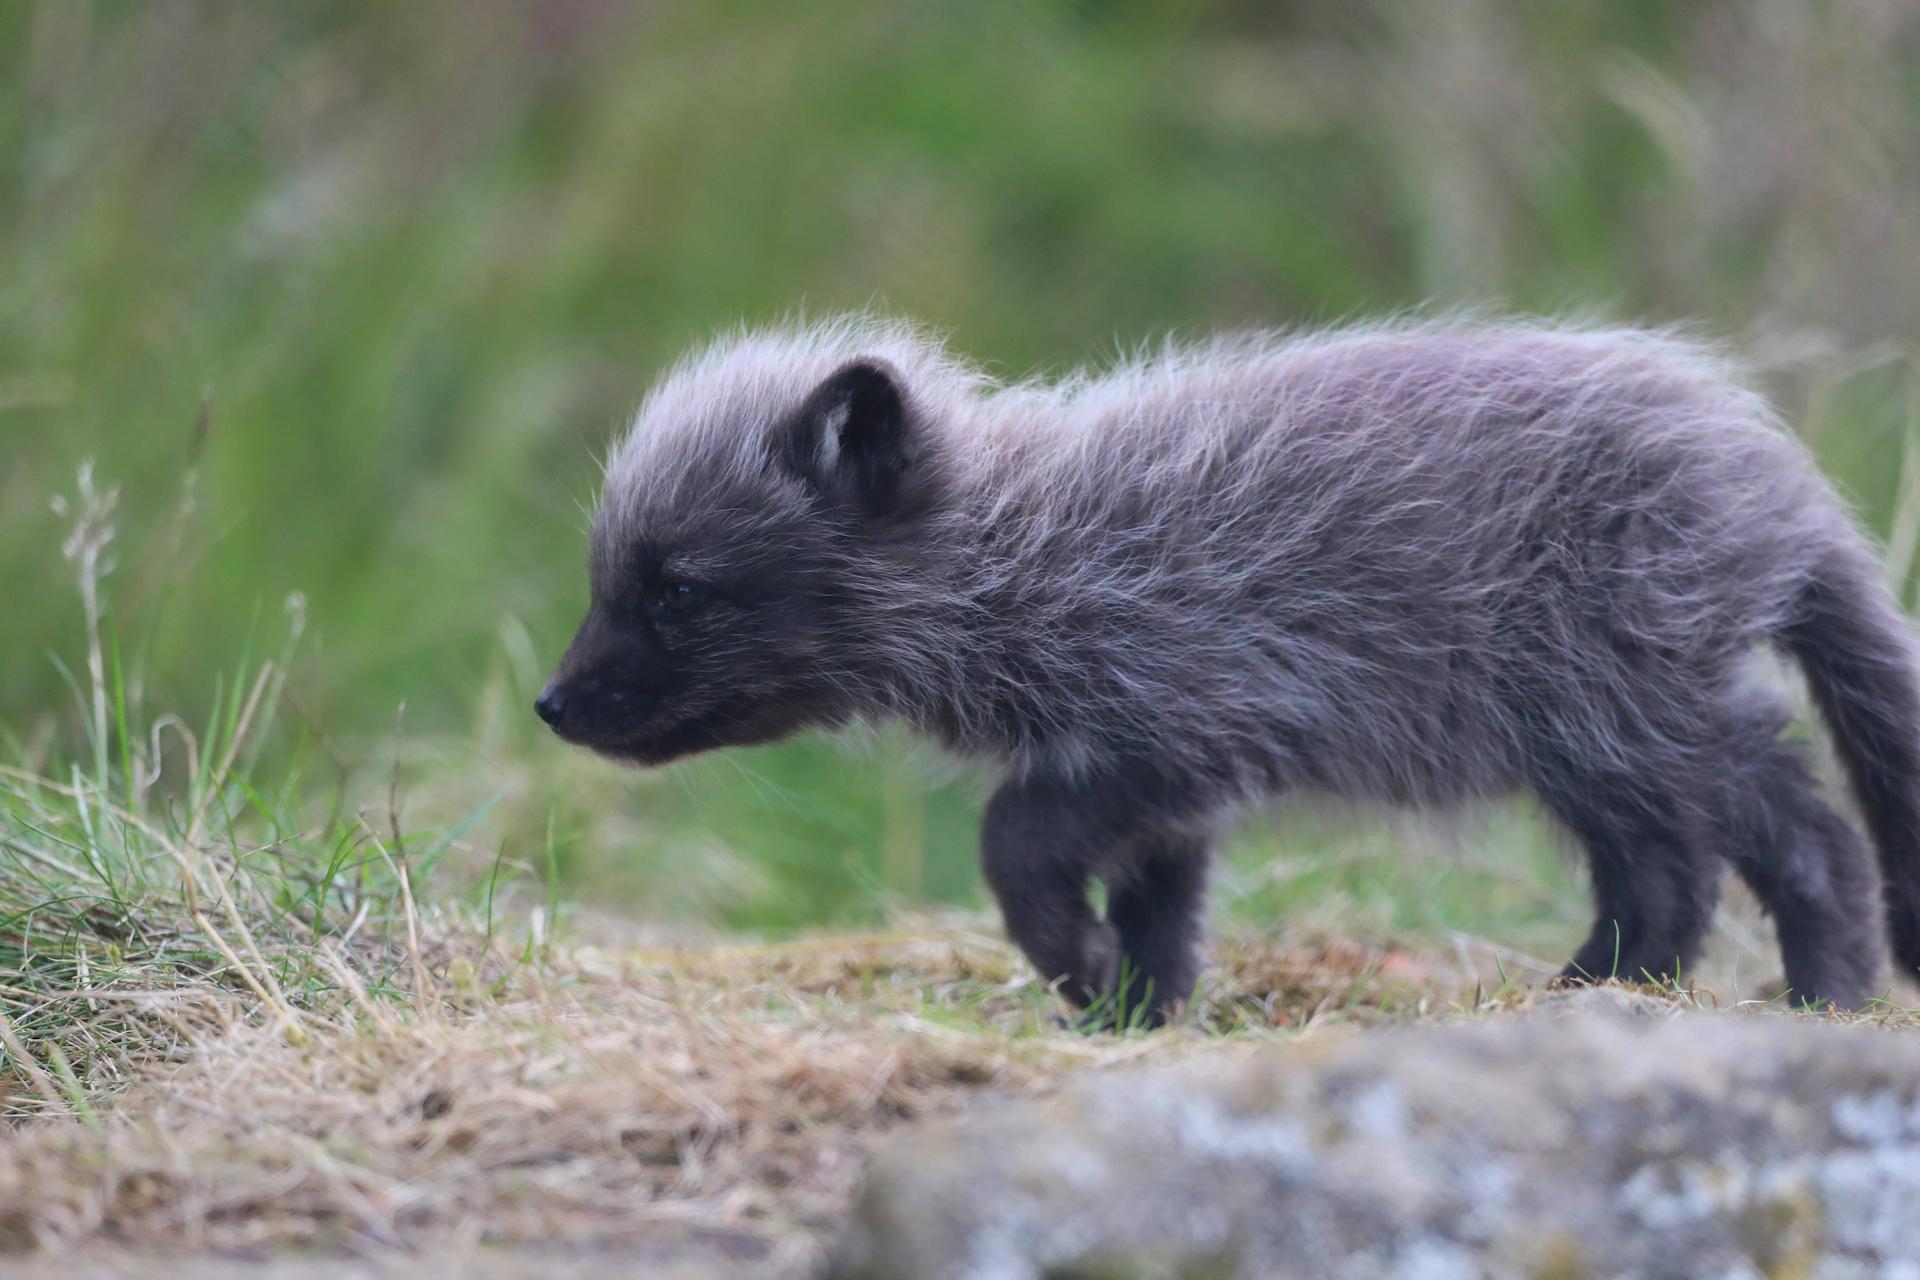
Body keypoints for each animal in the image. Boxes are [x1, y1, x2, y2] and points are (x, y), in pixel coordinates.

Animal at [537, 315, 1920, 1022]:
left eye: (676, 589)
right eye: (609, 581)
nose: (553, 705)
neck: (1033, 549)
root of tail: (1774, 472)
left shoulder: (1177, 718)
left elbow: (1014, 840)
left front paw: (1080, 967)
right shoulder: (1169, 782)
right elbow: (1162, 904)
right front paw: (1131, 1010)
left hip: (1621, 703)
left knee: (1786, 834)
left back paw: (1805, 994)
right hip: (1608, 728)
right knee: (1687, 864)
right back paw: (1627, 990)